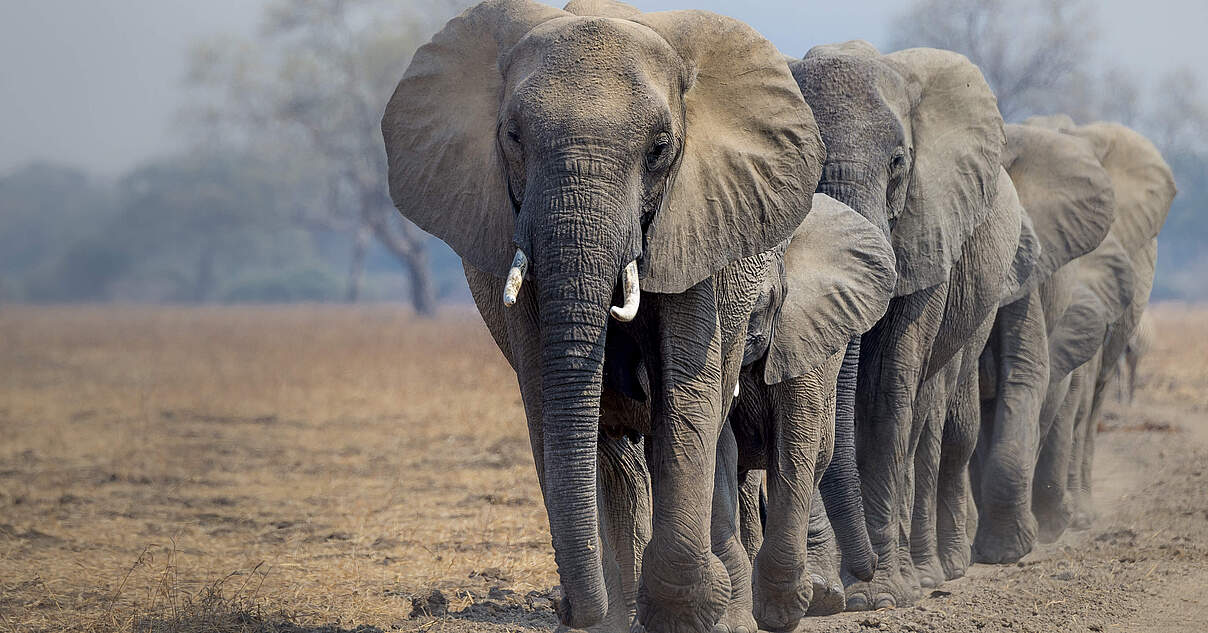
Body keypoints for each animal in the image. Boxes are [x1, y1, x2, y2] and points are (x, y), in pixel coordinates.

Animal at [384, 2, 831, 628]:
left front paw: (688, 610)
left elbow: (686, 396)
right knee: (613, 449)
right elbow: (550, 401)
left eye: (660, 148)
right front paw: (616, 617)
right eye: (513, 138)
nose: (568, 608)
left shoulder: (696, 219)